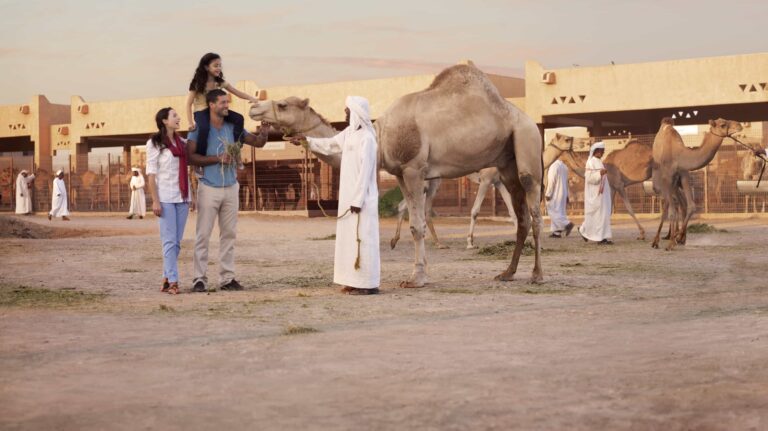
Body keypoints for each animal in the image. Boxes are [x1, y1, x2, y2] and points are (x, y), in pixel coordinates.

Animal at [249, 63, 544, 286]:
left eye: (283, 104)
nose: (253, 108)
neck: (381, 136)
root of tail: (527, 119)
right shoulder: (401, 173)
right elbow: (413, 220)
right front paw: (420, 272)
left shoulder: (414, 168)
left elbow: (418, 225)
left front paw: (416, 278)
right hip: (506, 164)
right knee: (521, 217)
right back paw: (508, 272)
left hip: (527, 142)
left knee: (534, 210)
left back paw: (536, 275)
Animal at [648, 118, 744, 253]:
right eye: (722, 125)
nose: (739, 125)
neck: (678, 155)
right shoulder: (667, 179)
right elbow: (672, 211)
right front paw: (671, 242)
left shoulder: (683, 175)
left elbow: (692, 206)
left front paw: (678, 237)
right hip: (661, 182)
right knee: (668, 204)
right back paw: (658, 240)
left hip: (675, 185)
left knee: (678, 204)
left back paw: (677, 237)